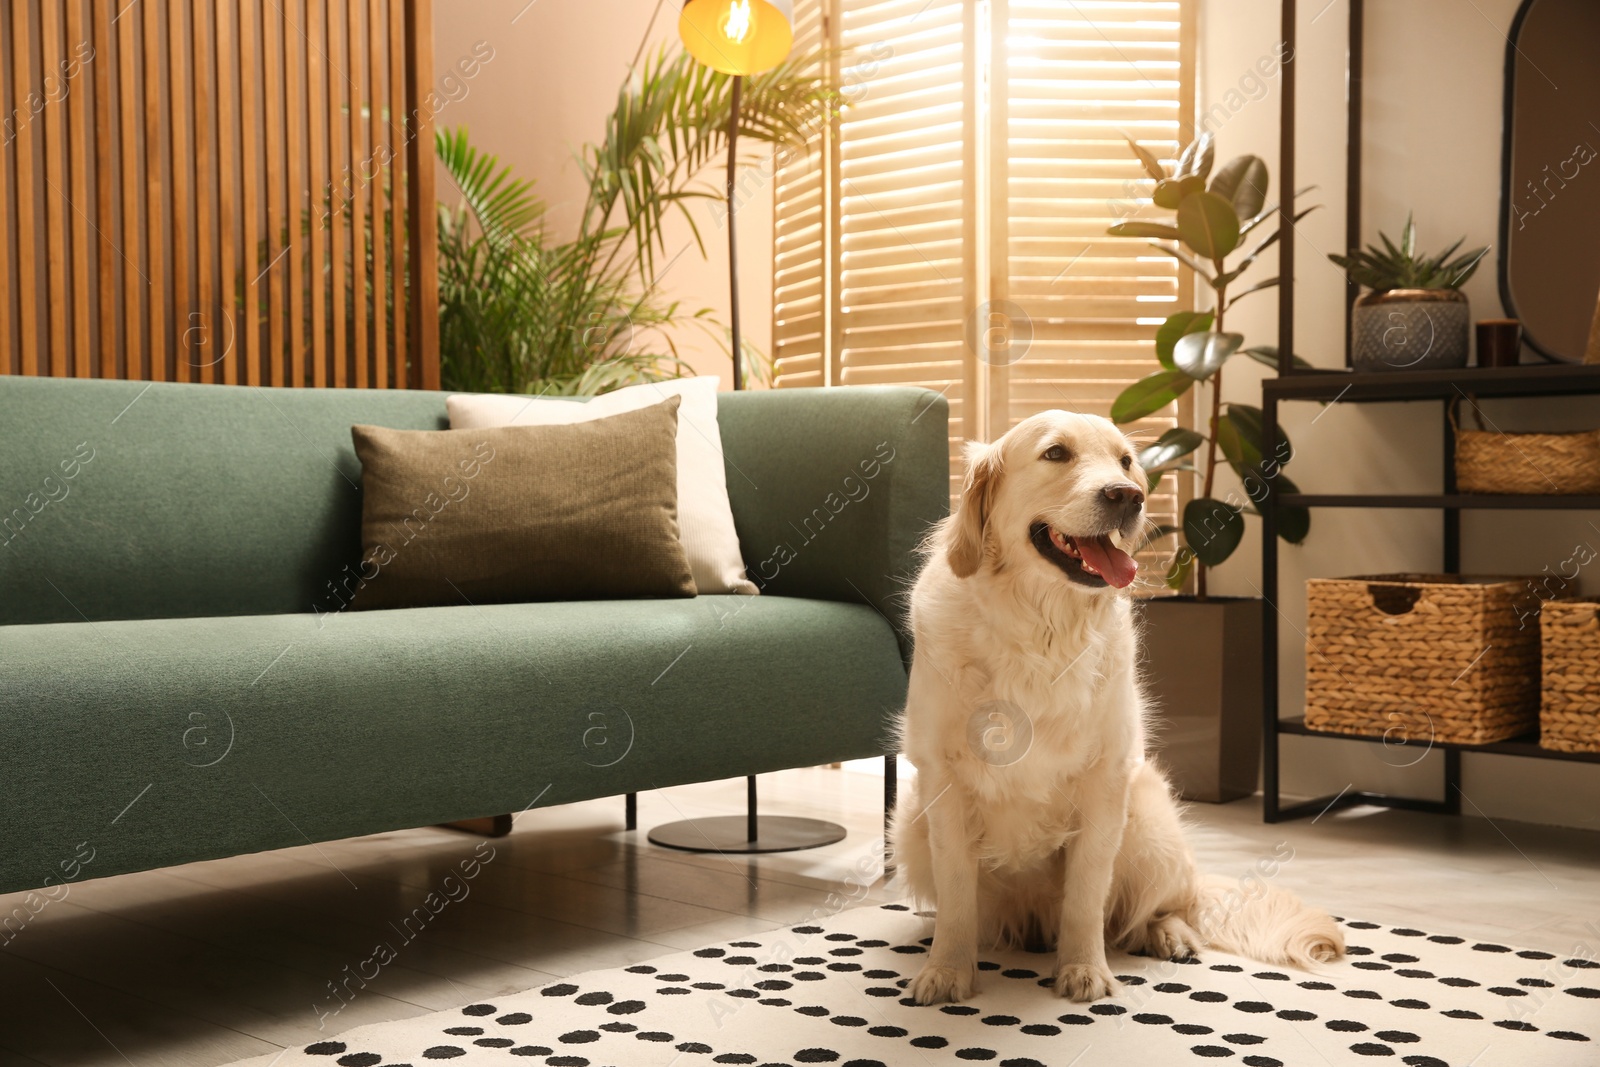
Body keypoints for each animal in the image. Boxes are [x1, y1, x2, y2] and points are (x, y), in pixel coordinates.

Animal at [896, 409, 1344, 1004]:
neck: (1037, 631)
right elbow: (955, 894)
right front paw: (947, 970)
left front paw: (1084, 969)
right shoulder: (942, 781)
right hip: (907, 826)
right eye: (1055, 453)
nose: (1126, 495)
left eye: (1127, 461)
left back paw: (1168, 936)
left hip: (1150, 824)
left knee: (1164, 908)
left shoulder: (1104, 780)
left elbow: (1087, 894)